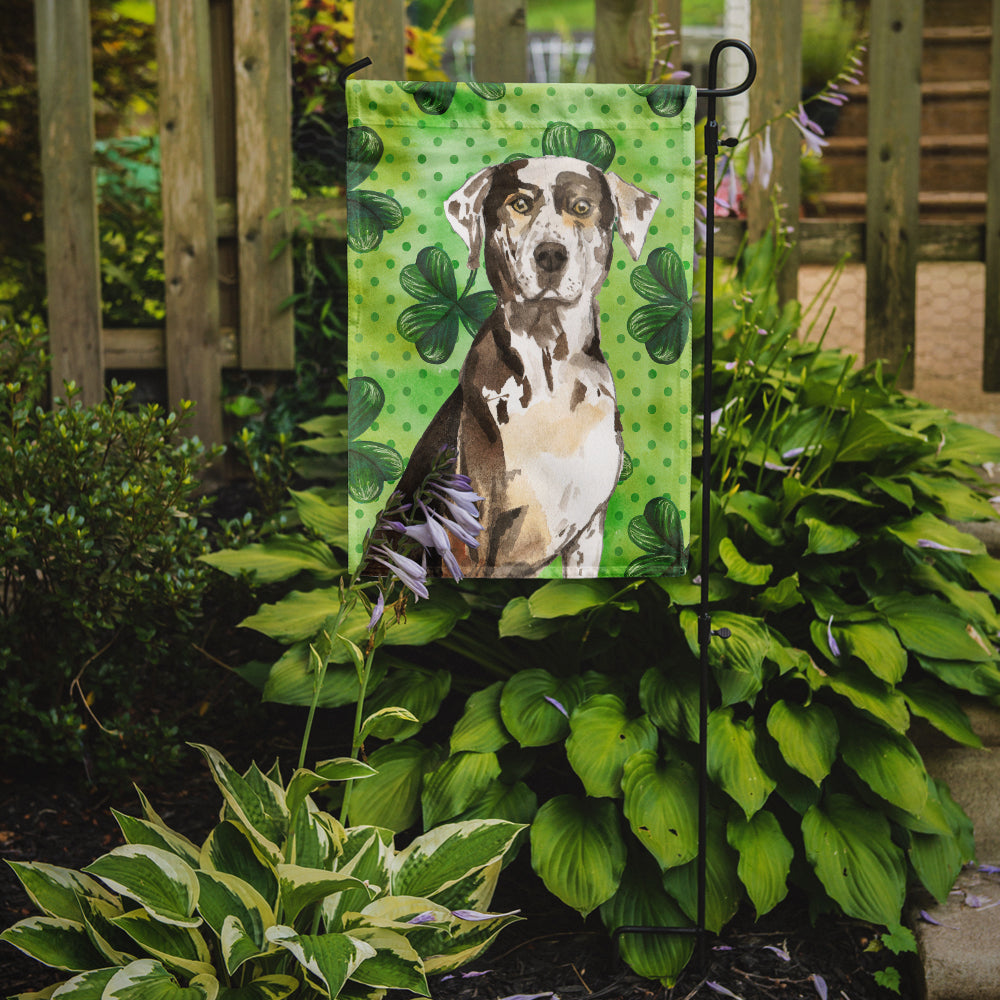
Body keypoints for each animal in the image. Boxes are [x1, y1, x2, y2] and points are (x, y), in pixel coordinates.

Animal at [394, 155, 660, 580]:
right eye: (519, 204)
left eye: (581, 207)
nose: (550, 254)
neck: (551, 370)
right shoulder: (471, 537)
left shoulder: (588, 533)